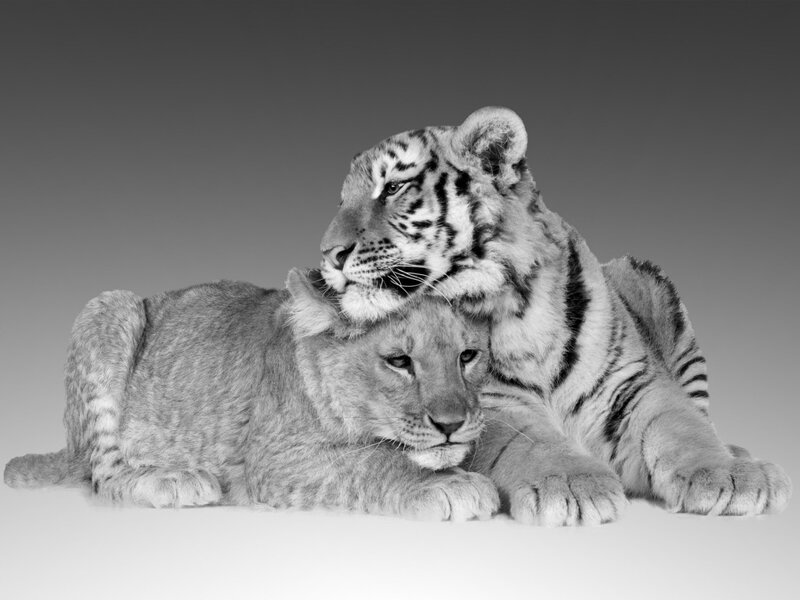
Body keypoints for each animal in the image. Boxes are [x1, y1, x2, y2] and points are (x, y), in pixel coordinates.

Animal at [4, 269, 499, 521]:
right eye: (398, 361)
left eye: (468, 356)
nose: (452, 425)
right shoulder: (274, 459)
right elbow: (376, 460)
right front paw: (451, 484)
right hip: (109, 305)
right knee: (103, 477)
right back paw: (176, 480)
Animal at [318, 106, 792, 525]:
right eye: (341, 200)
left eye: (393, 188)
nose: (329, 254)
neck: (518, 305)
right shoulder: (487, 401)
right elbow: (529, 439)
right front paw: (573, 486)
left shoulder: (635, 382)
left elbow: (680, 423)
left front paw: (728, 477)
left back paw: (743, 457)